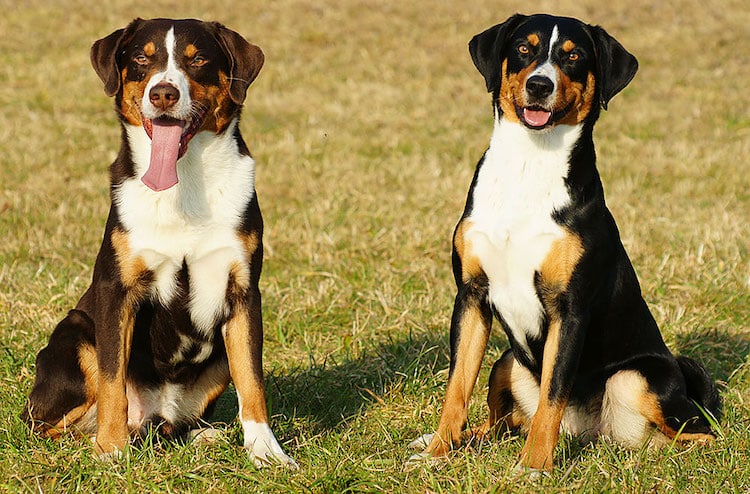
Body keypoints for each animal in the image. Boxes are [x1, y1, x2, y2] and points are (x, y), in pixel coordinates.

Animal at [21, 18, 296, 466]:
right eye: (141, 58)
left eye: (197, 59)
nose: (163, 93)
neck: (184, 184)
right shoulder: (117, 291)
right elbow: (113, 380)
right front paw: (110, 452)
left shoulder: (243, 294)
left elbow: (252, 382)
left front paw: (266, 452)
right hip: (77, 334)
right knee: (49, 426)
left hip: (215, 359)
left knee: (174, 426)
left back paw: (203, 435)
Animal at [412, 13, 724, 470]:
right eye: (524, 48)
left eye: (573, 56)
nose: (540, 85)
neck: (529, 165)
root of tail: (589, 432)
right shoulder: (471, 295)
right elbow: (457, 388)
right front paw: (437, 452)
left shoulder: (570, 308)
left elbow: (552, 395)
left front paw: (533, 466)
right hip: (507, 362)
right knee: (500, 423)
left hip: (638, 377)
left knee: (700, 433)